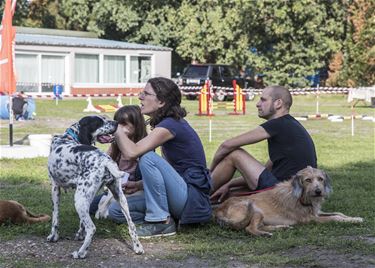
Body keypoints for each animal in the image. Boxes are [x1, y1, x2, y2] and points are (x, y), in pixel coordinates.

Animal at [47, 115, 144, 258]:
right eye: (100, 121)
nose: (116, 123)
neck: (68, 138)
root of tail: (105, 161)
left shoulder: (55, 187)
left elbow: (55, 216)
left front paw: (53, 236)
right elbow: (81, 222)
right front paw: (80, 234)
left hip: (79, 200)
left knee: (92, 228)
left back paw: (81, 252)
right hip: (120, 198)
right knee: (131, 225)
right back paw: (138, 247)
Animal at [214, 166, 364, 236]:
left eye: (320, 179)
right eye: (308, 180)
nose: (318, 191)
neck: (302, 196)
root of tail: (219, 209)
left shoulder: (316, 212)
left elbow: (338, 213)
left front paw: (355, 218)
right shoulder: (311, 219)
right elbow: (334, 218)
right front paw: (351, 221)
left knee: (258, 226)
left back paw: (281, 227)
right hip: (255, 210)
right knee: (249, 228)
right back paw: (265, 234)